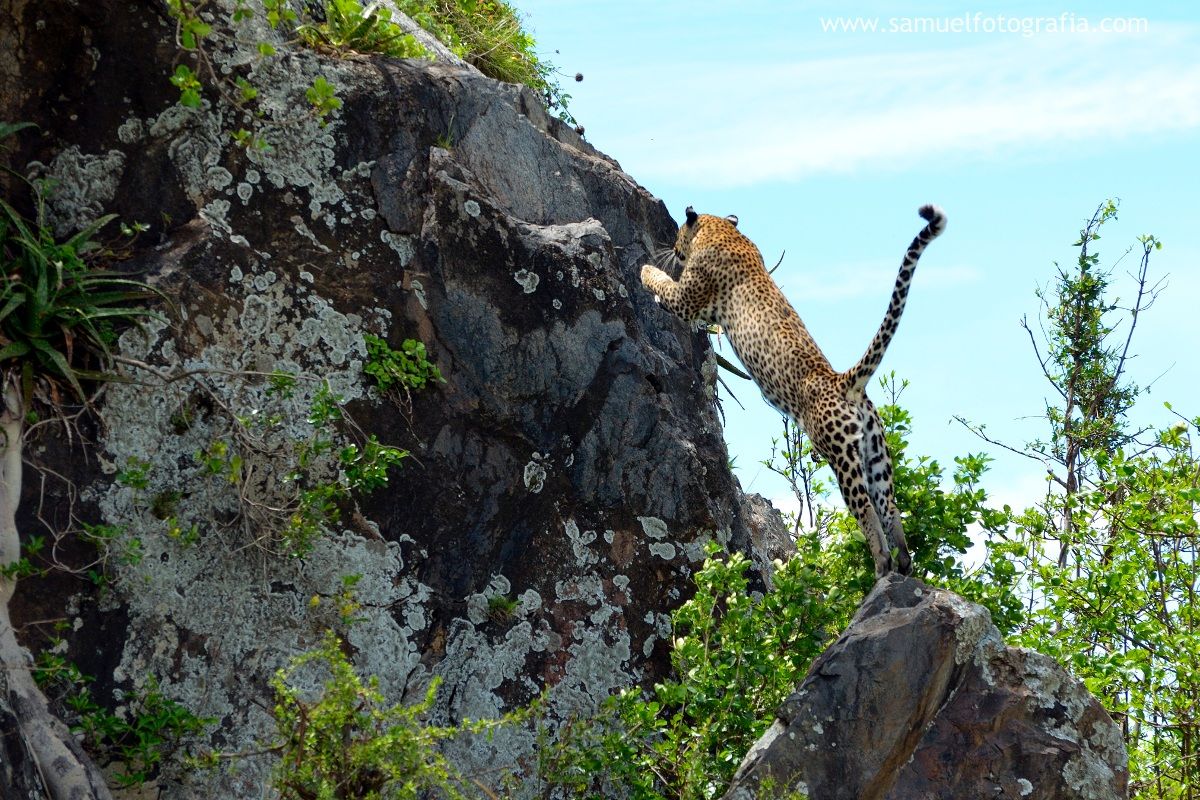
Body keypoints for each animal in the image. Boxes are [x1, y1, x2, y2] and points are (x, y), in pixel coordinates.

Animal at [640, 204, 946, 577]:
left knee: (867, 512)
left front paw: (646, 268)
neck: (723, 231)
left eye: (678, 235)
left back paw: (881, 568)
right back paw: (903, 566)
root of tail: (842, 380)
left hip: (841, 455)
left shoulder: (688, 299)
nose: (674, 249)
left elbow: (662, 283)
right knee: (890, 508)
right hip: (876, 454)